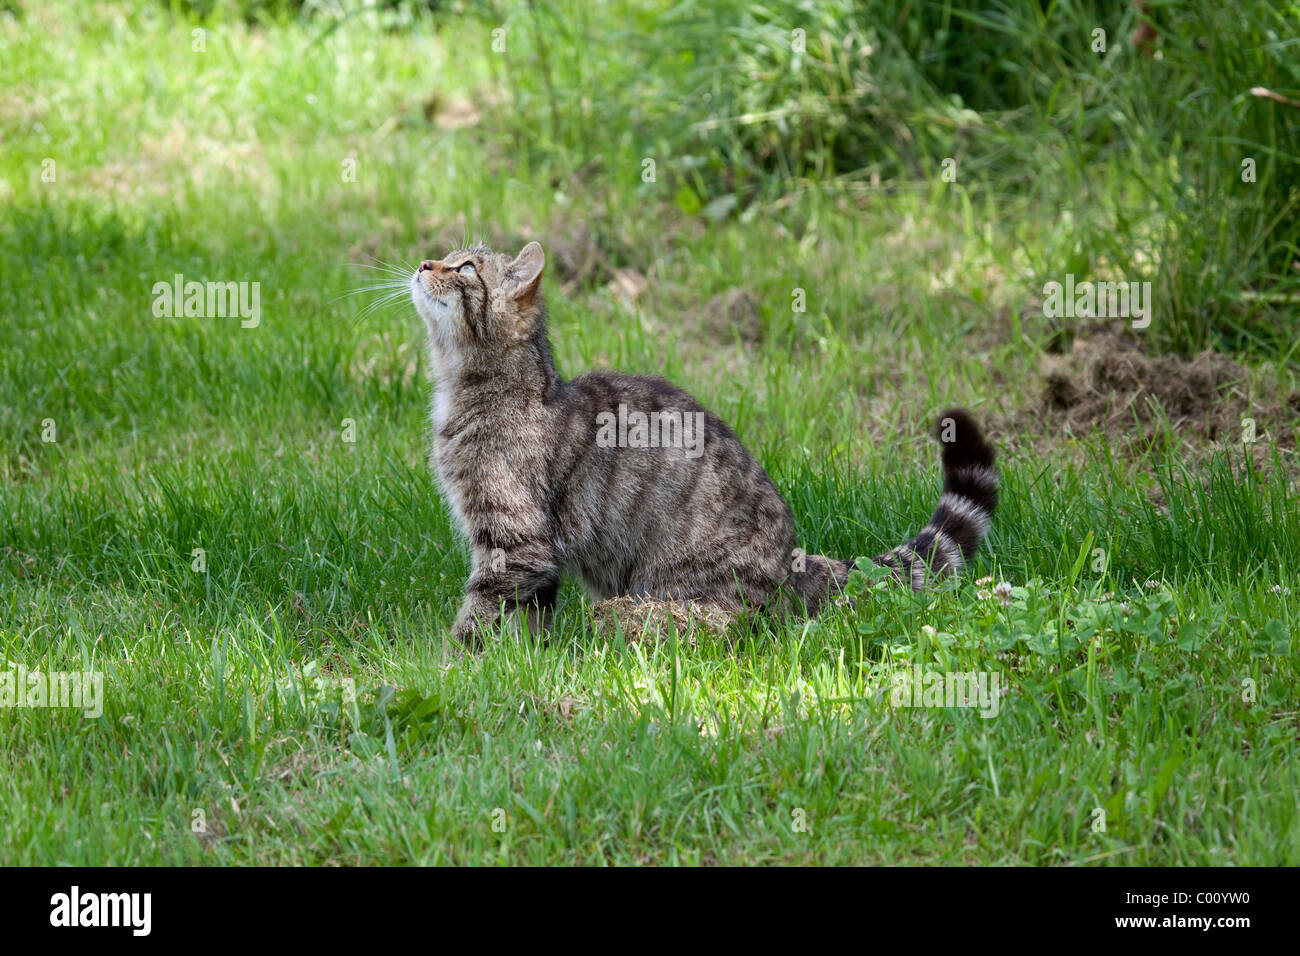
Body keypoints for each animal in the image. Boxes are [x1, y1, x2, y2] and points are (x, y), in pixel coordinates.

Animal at [410, 239, 998, 647]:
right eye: (448, 258)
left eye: (464, 268)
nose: (423, 264)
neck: (466, 392)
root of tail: (790, 556)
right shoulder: (534, 556)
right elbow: (527, 616)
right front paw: (523, 660)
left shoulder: (515, 540)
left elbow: (480, 612)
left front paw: (453, 663)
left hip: (678, 584)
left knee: (728, 625)